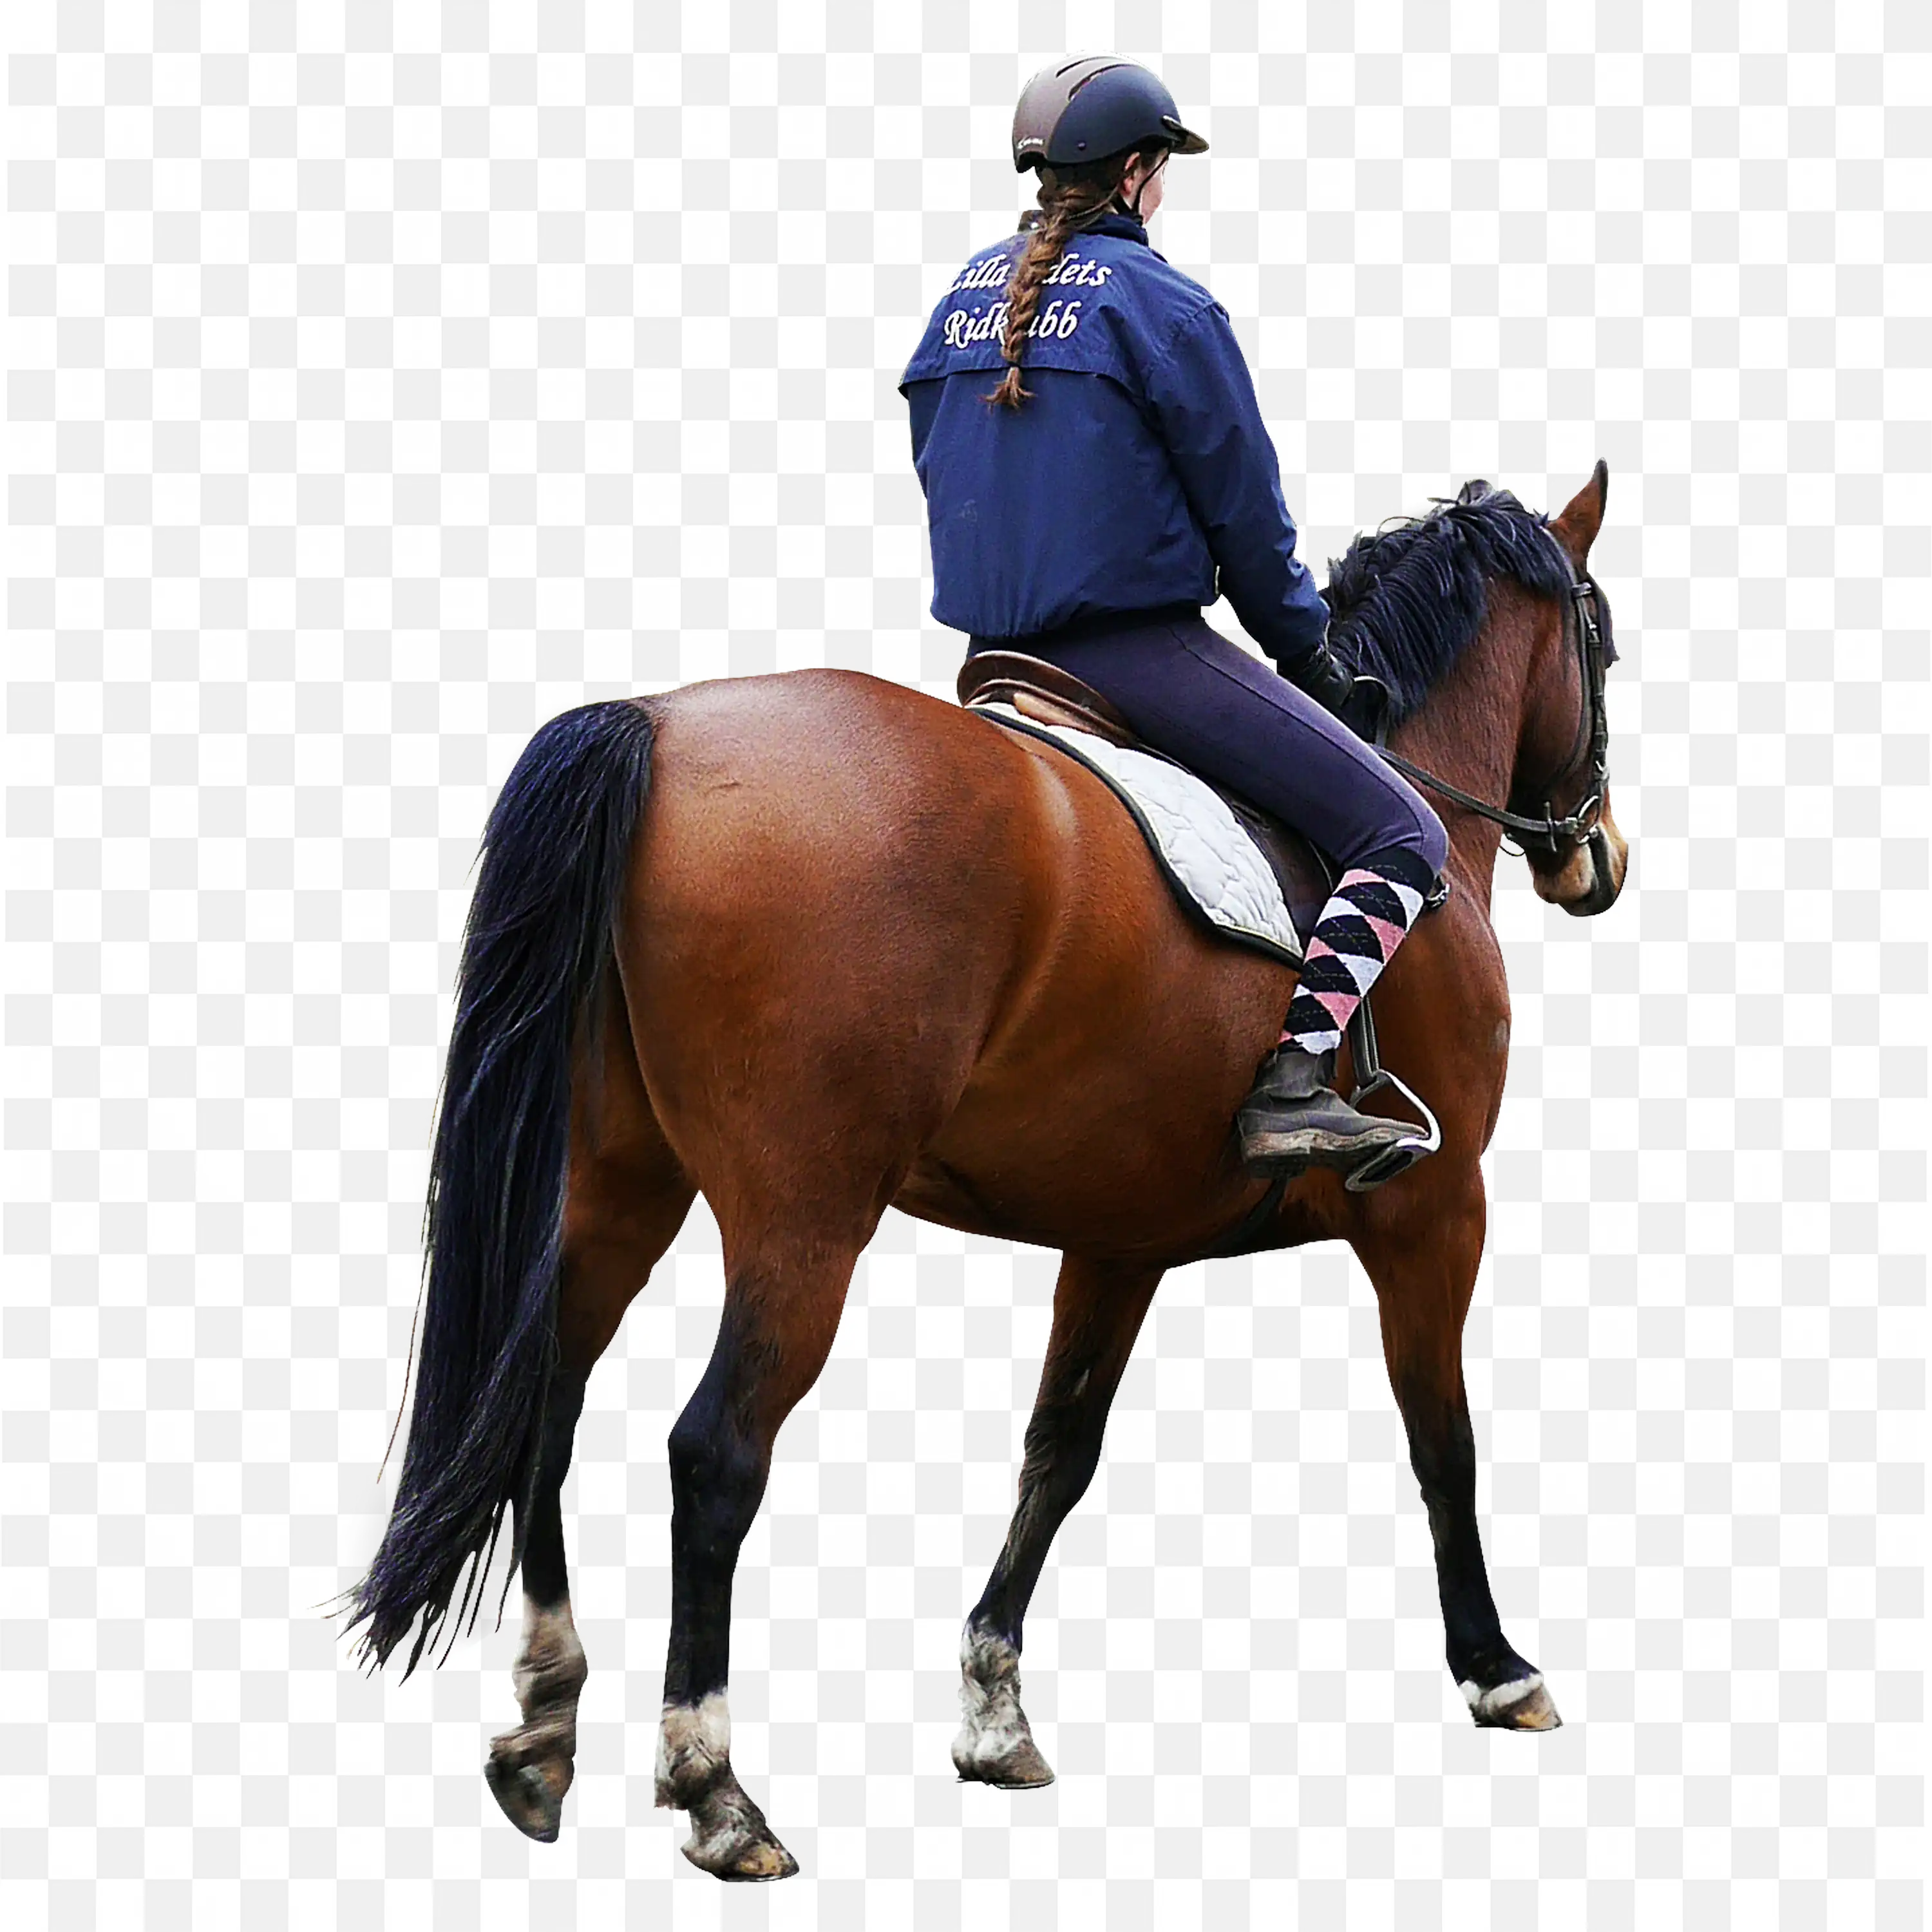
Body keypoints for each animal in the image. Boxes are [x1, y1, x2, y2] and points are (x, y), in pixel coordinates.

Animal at [345, 464, 1629, 1880]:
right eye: (1604, 641)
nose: (1598, 859)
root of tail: (660, 732)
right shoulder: (1434, 1215)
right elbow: (1443, 1440)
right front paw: (1499, 1669)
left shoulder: (1121, 1240)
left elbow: (1057, 1453)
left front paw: (995, 1708)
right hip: (803, 1223)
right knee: (714, 1453)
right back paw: (716, 1789)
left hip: (615, 1193)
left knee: (548, 1408)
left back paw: (543, 1731)